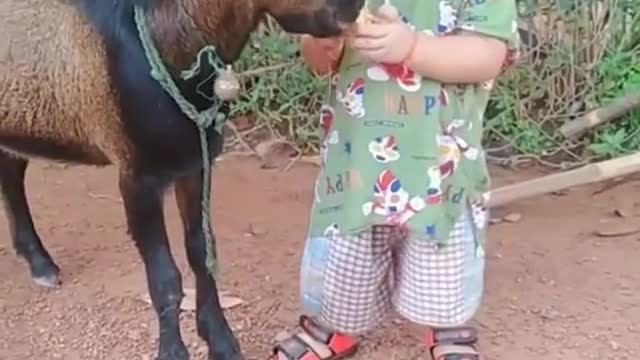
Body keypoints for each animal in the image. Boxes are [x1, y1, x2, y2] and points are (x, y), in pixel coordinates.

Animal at [0, 0, 362, 358]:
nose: (355, 8)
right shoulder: (137, 177)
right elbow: (164, 278)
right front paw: (173, 351)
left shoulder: (195, 164)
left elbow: (201, 252)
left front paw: (222, 342)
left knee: (11, 172)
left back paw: (40, 263)